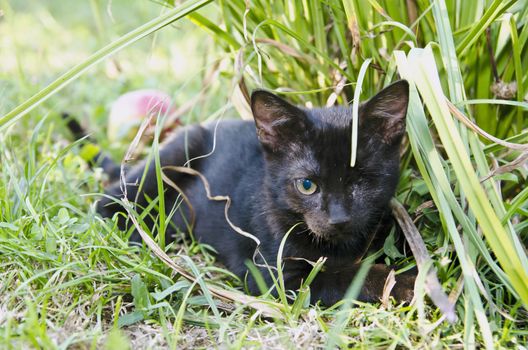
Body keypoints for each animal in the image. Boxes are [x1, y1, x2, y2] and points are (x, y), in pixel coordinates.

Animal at [98, 80, 412, 304]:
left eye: (362, 181)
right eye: (307, 185)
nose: (338, 219)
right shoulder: (275, 278)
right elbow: (346, 277)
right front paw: (405, 282)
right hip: (174, 153)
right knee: (108, 202)